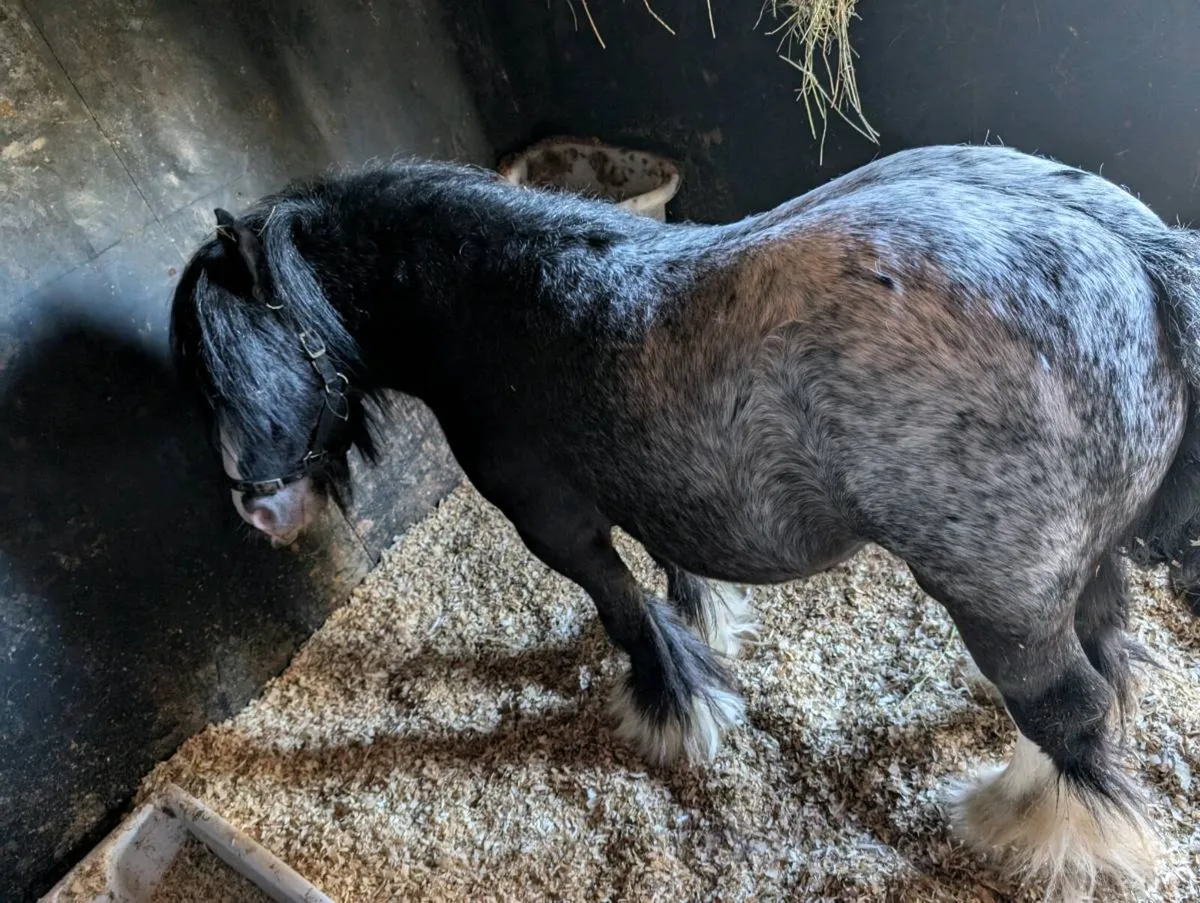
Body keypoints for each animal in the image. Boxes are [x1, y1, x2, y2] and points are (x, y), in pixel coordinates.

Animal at [169, 144, 1200, 899]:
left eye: (239, 356)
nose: (259, 508)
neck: (504, 306)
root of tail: (1140, 262)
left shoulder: (556, 525)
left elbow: (626, 613)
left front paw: (675, 712)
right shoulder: (653, 494)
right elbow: (674, 571)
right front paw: (708, 631)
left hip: (998, 600)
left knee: (1071, 708)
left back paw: (1024, 826)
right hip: (1082, 563)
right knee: (1104, 652)